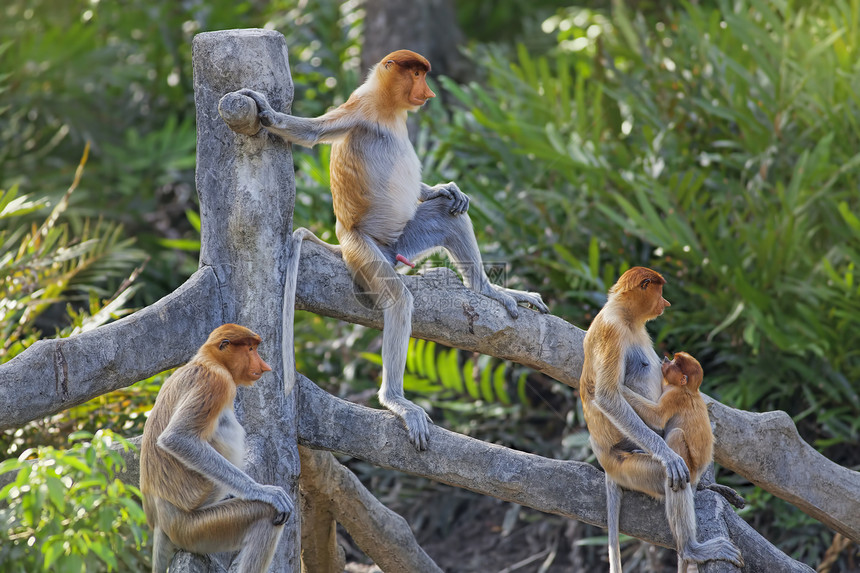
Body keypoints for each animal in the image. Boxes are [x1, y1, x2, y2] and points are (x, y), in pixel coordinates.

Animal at [580, 268, 744, 572]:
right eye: (659, 292)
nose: (665, 303)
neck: (624, 315)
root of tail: (606, 461)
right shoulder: (612, 331)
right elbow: (607, 396)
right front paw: (668, 455)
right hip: (631, 467)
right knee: (673, 464)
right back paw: (691, 549)